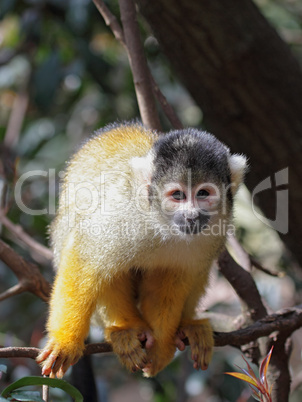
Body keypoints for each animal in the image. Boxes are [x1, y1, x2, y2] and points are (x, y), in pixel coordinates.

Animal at [36, 121, 247, 376]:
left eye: (203, 193)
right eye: (178, 195)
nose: (191, 216)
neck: (162, 223)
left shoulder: (213, 233)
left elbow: (170, 279)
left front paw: (161, 347)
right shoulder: (122, 213)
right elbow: (85, 255)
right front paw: (66, 342)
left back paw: (188, 326)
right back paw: (126, 329)